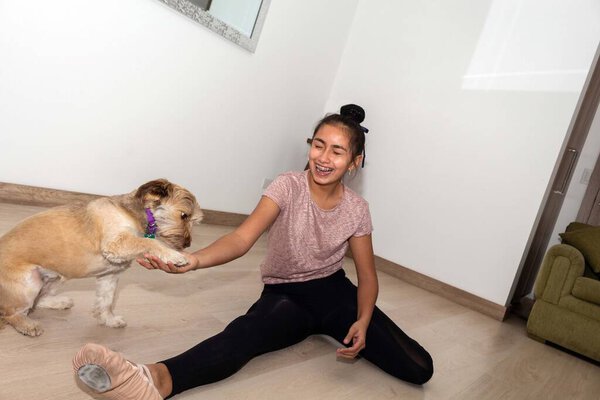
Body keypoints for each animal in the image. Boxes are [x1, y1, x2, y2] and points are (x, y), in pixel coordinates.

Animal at [0, 178, 203, 334]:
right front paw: (173, 255)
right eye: (184, 215)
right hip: (30, 283)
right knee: (11, 313)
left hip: (54, 277)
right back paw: (28, 326)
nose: (187, 244)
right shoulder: (115, 244)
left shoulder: (110, 275)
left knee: (37, 302)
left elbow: (106, 301)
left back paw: (59, 302)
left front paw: (109, 320)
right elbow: (148, 242)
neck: (135, 214)